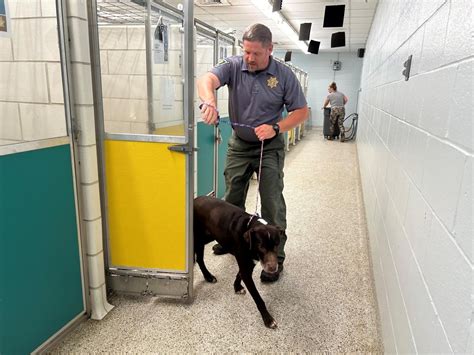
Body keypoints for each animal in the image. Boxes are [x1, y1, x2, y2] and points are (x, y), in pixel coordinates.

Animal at [192, 196, 282, 330]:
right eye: (261, 246)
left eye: (276, 245)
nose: (272, 268)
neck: (248, 228)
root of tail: (195, 199)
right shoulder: (245, 266)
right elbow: (258, 298)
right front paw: (268, 319)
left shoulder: (249, 263)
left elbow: (239, 274)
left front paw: (237, 287)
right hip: (197, 238)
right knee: (199, 259)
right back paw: (208, 276)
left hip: (207, 236)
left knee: (199, 258)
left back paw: (208, 276)